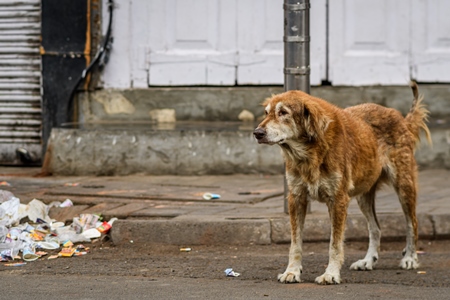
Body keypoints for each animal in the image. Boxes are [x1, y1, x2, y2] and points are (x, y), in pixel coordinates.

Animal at [255, 82, 430, 284]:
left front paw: (330, 274)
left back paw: (410, 257)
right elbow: (295, 242)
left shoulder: (338, 200)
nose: (257, 133)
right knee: (375, 228)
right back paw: (368, 261)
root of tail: (401, 119)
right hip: (363, 196)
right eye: (266, 113)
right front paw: (292, 271)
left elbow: (335, 244)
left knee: (412, 224)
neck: (309, 152)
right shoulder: (296, 198)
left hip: (404, 186)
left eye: (283, 112)